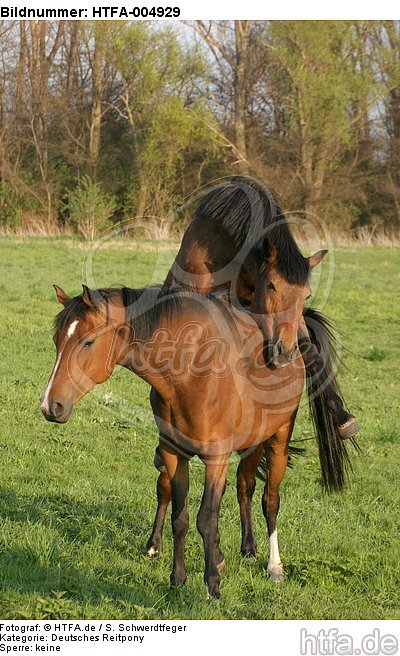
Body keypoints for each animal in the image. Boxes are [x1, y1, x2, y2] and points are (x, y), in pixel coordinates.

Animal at [41, 278, 353, 600]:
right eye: (56, 340)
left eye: (87, 342)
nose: (51, 406)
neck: (189, 371)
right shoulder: (174, 454)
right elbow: (181, 518)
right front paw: (178, 579)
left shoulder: (216, 458)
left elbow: (207, 519)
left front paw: (212, 584)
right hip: (252, 442)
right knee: (245, 486)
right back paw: (247, 547)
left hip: (278, 439)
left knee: (270, 500)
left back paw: (274, 567)